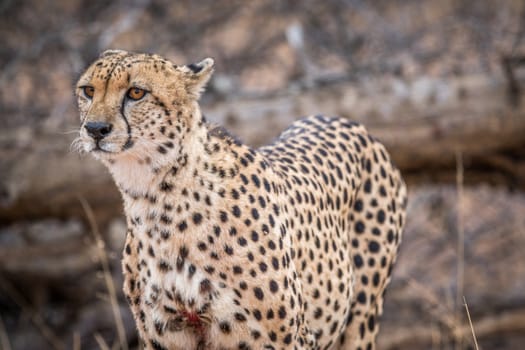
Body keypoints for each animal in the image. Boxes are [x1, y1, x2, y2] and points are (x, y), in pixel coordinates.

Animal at [73, 50, 408, 350]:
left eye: (136, 93)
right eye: (88, 90)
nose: (95, 129)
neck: (155, 200)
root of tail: (338, 118)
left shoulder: (289, 338)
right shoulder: (167, 336)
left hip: (361, 317)